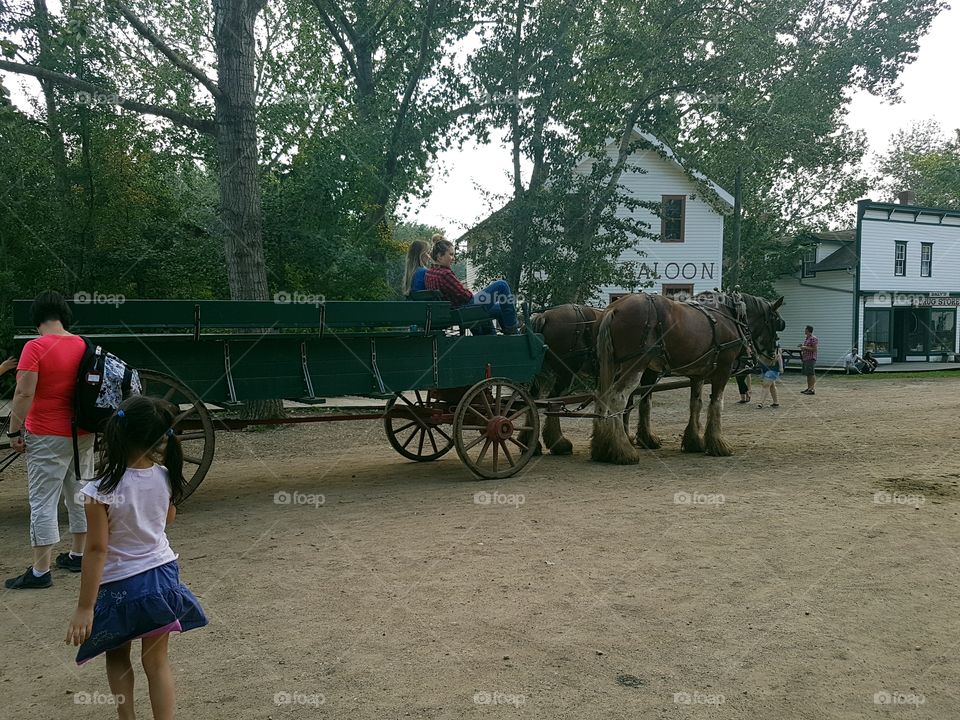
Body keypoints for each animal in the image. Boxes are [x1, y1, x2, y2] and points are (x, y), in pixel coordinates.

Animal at [588, 292, 784, 464]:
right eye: (777, 322)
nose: (773, 355)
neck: (730, 317)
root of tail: (615, 308)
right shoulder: (723, 369)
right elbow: (716, 404)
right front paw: (718, 444)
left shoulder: (697, 375)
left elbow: (695, 404)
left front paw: (694, 441)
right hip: (635, 365)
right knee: (618, 399)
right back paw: (623, 450)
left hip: (612, 366)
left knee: (601, 398)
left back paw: (601, 448)